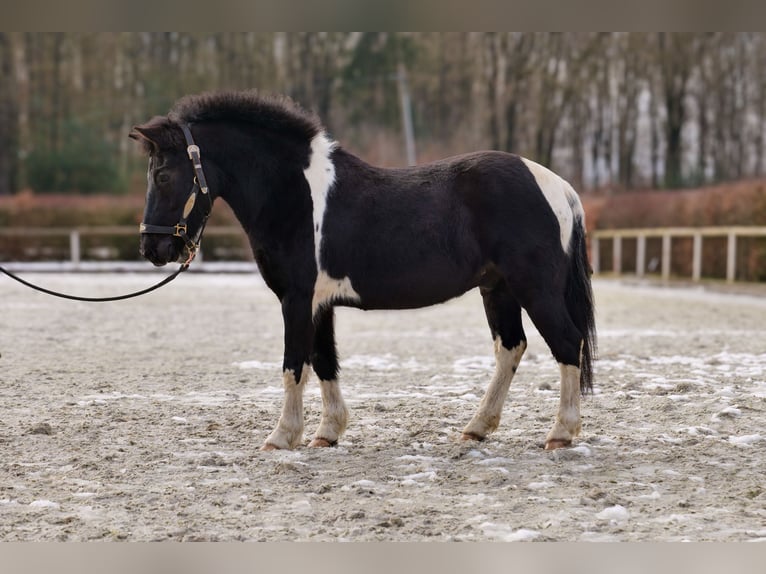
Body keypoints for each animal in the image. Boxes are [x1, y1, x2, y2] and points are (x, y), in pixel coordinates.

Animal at [132, 90, 596, 452]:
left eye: (164, 174)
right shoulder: (318, 304)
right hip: (497, 290)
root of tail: (559, 187)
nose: (153, 248)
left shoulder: (296, 300)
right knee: (511, 348)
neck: (296, 195)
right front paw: (327, 432)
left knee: (566, 343)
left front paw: (282, 436)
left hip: (534, 289)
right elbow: (324, 361)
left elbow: (293, 365)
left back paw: (560, 433)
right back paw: (476, 428)